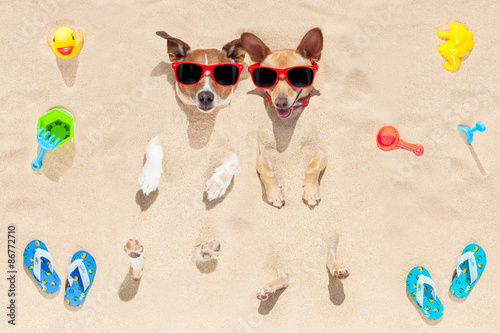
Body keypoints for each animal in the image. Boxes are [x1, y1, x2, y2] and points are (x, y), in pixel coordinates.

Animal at [241, 27, 328, 208]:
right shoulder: (261, 156)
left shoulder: (320, 152)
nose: (280, 102)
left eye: (299, 76)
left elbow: (311, 167)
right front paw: (275, 194)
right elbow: (267, 172)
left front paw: (310, 191)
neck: (287, 123)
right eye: (267, 78)